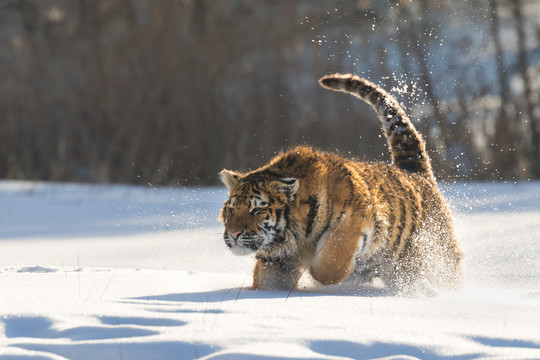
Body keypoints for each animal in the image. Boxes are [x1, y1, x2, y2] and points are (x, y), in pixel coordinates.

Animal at [217, 74, 462, 294]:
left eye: (257, 210)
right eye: (231, 210)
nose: (234, 234)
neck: (292, 237)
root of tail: (414, 171)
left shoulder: (353, 224)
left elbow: (327, 267)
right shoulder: (276, 260)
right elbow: (266, 283)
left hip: (435, 253)